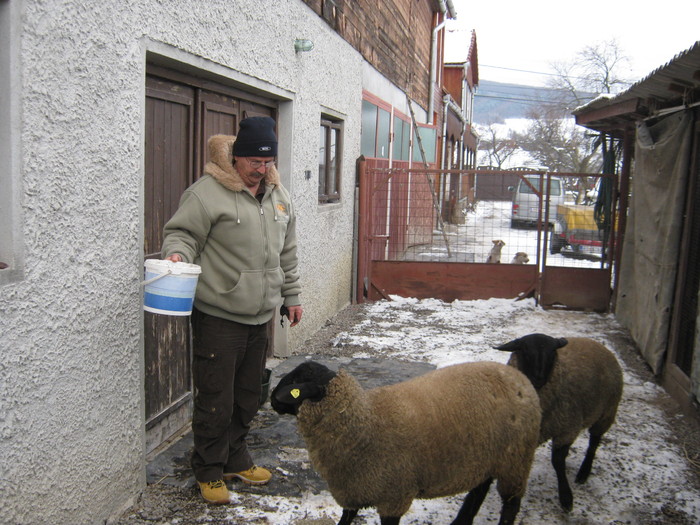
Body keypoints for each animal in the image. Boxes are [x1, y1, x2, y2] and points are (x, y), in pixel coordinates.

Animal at [270, 360, 540, 524]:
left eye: (296, 382)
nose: (272, 398)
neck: (365, 423)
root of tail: (519, 377)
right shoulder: (353, 491)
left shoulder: (394, 498)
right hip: (488, 456)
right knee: (479, 489)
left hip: (516, 461)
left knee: (510, 504)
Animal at [492, 334, 624, 510]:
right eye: (525, 350)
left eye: (552, 353)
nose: (539, 377)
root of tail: (597, 343)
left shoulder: (567, 428)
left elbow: (558, 461)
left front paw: (566, 497)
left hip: (606, 412)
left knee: (594, 442)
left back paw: (584, 472)